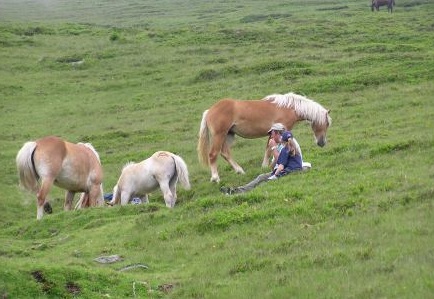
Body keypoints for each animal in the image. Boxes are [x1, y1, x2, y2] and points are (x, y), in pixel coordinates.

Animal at [198, 92, 332, 184]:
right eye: (326, 124)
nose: (322, 143)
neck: (288, 108)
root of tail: (209, 111)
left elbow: (268, 149)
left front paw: (265, 166)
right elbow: (272, 150)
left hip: (228, 135)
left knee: (225, 153)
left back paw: (240, 171)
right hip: (219, 135)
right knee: (213, 154)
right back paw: (215, 178)